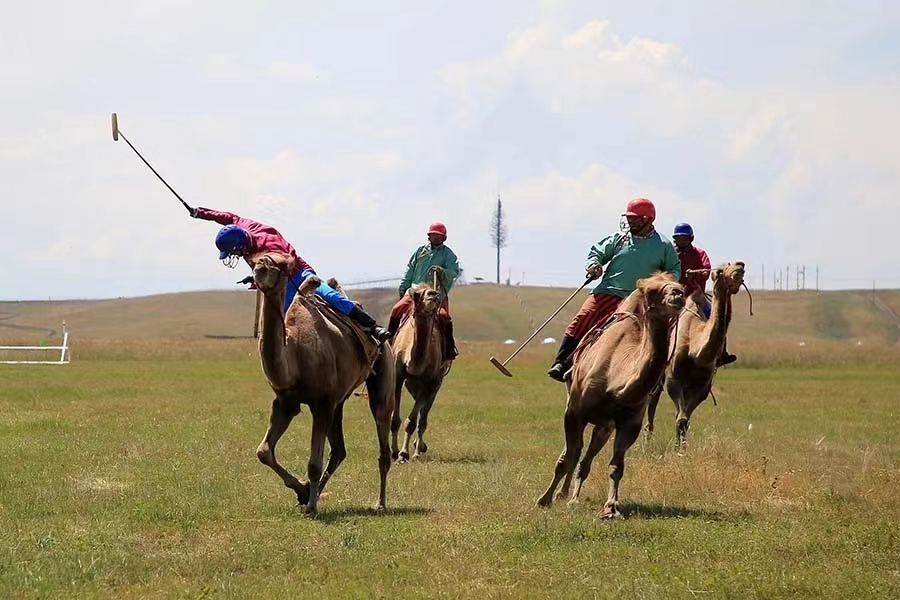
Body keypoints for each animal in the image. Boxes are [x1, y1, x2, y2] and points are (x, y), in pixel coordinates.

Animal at [251, 254, 396, 516]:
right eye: (258, 259)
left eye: (283, 263)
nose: (261, 266)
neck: (295, 353)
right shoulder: (286, 402)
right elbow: (264, 451)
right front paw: (303, 491)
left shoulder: (322, 403)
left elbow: (313, 463)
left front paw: (310, 504)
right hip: (339, 401)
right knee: (339, 450)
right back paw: (314, 492)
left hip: (381, 376)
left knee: (382, 439)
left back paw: (380, 503)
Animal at [392, 284, 454, 462]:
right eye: (417, 294)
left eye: (434, 292)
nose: (433, 294)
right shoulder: (398, 376)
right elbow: (394, 419)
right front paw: (394, 452)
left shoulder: (429, 382)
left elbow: (412, 421)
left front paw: (404, 454)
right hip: (411, 384)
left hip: (436, 383)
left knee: (423, 416)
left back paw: (418, 450)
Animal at [536, 274, 684, 516]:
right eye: (651, 290)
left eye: (679, 284)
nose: (678, 294)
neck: (615, 380)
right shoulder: (574, 412)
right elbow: (566, 458)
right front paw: (544, 499)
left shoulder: (629, 423)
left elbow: (616, 465)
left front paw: (611, 507)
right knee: (575, 451)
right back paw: (564, 495)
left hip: (605, 425)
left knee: (586, 456)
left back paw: (572, 497)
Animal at [648, 260, 744, 448]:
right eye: (720, 270)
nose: (740, 265)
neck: (695, 349)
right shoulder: (673, 380)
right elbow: (681, 418)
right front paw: (679, 449)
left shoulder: (702, 387)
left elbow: (684, 419)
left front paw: (681, 449)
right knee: (652, 402)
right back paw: (647, 439)